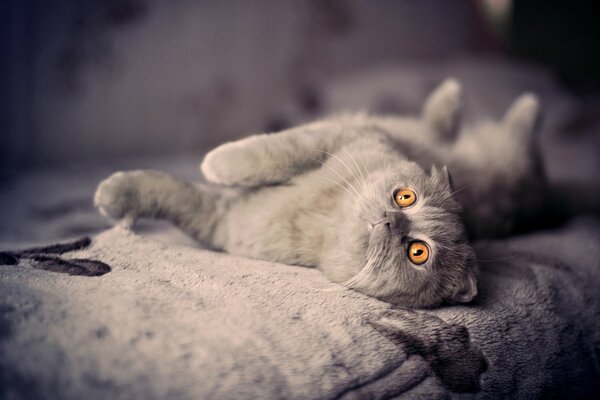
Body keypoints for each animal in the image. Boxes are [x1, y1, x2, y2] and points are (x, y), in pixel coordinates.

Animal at [94, 79, 544, 308]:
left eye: (418, 252)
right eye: (406, 197)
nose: (390, 219)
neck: (325, 217)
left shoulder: (224, 221)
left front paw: (212, 164)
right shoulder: (338, 135)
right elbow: (270, 152)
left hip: (514, 167)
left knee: (523, 143)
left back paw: (527, 103)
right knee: (440, 120)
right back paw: (457, 93)